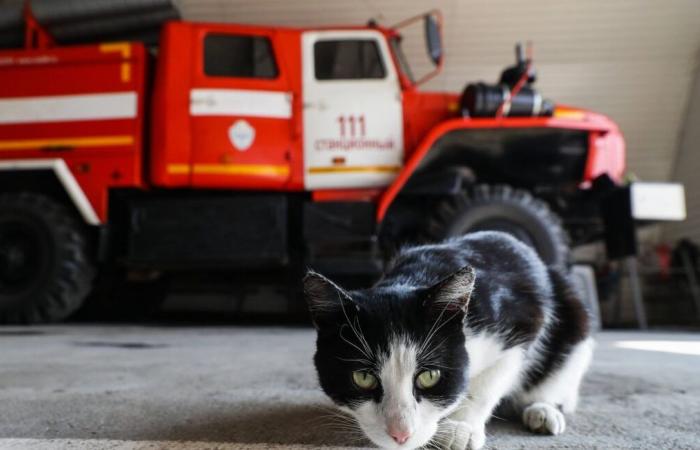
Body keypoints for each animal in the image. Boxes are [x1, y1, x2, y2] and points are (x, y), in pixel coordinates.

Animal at [304, 230, 592, 448]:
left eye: (429, 377)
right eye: (363, 378)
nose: (401, 434)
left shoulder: (524, 323)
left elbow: (487, 384)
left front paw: (459, 427)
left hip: (575, 319)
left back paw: (543, 411)